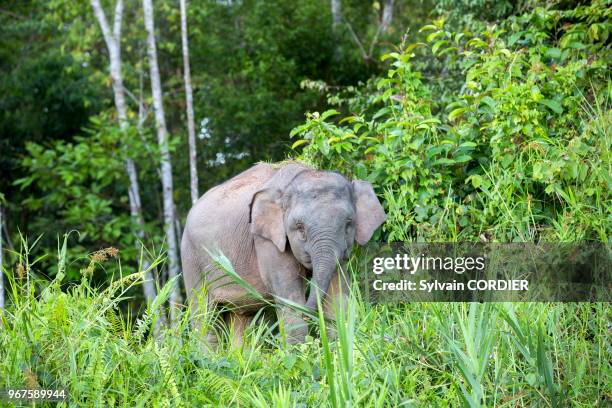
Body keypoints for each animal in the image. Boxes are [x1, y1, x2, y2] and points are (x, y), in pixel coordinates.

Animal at [179, 161, 384, 346]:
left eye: (348, 223)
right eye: (300, 227)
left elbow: (338, 296)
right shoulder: (266, 240)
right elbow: (290, 298)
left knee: (241, 321)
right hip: (191, 259)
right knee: (205, 317)